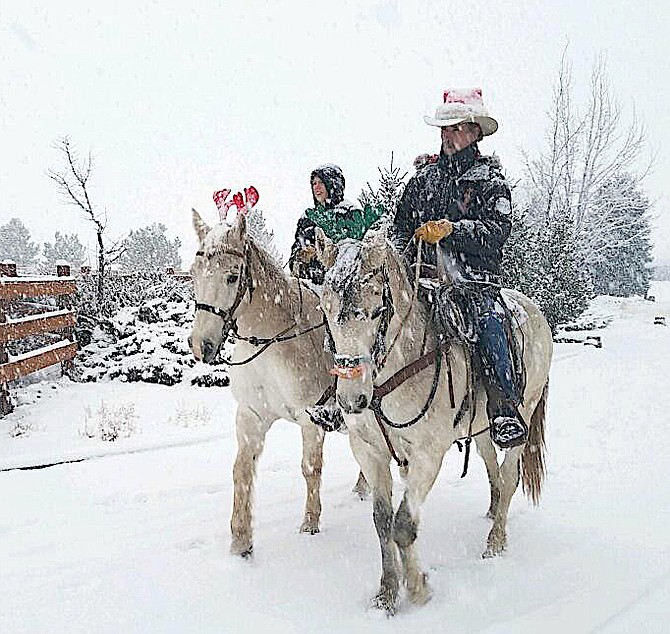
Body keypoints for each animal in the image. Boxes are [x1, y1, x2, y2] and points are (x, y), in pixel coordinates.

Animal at [189, 210, 368, 556]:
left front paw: (310, 524)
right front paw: (241, 540)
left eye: (232, 276)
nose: (200, 345)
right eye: (194, 274)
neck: (272, 340)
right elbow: (241, 471)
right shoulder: (251, 416)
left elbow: (310, 468)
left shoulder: (311, 418)